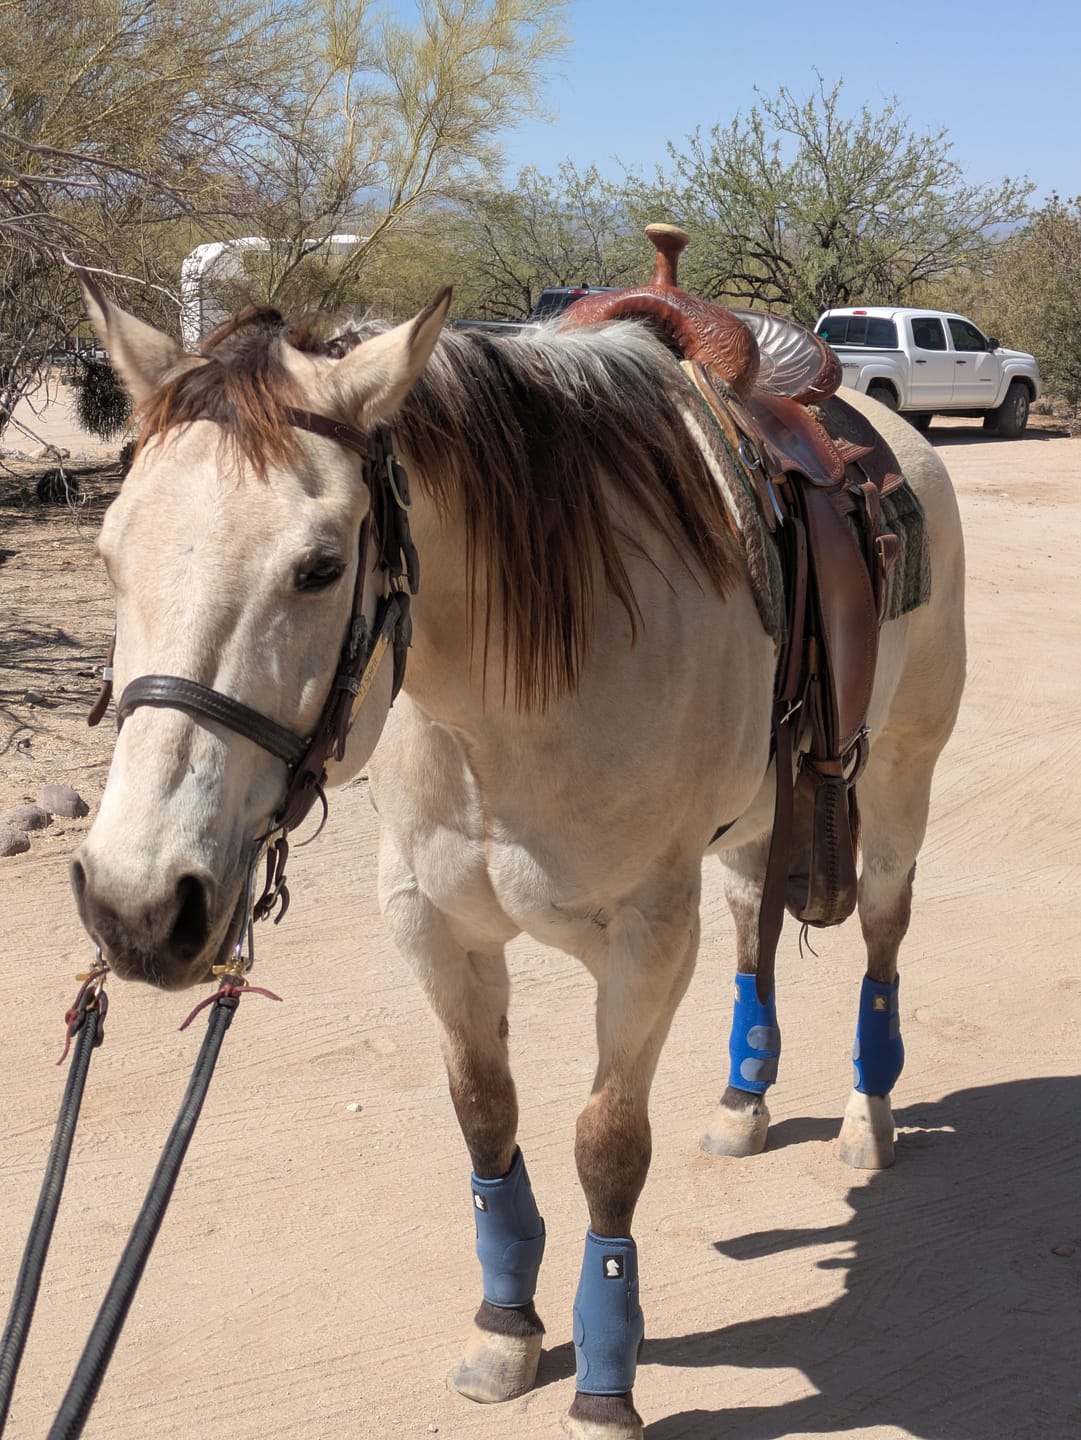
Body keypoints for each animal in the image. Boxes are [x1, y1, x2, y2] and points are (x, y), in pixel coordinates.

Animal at [70, 260, 965, 1439]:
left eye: (319, 567)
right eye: (108, 553)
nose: (135, 906)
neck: (513, 692)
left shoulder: (646, 941)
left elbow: (606, 1146)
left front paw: (604, 1373)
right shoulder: (432, 925)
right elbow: (485, 1121)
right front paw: (505, 1330)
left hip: (901, 771)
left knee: (883, 932)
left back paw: (869, 1118)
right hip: (760, 820)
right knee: (752, 923)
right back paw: (742, 1105)